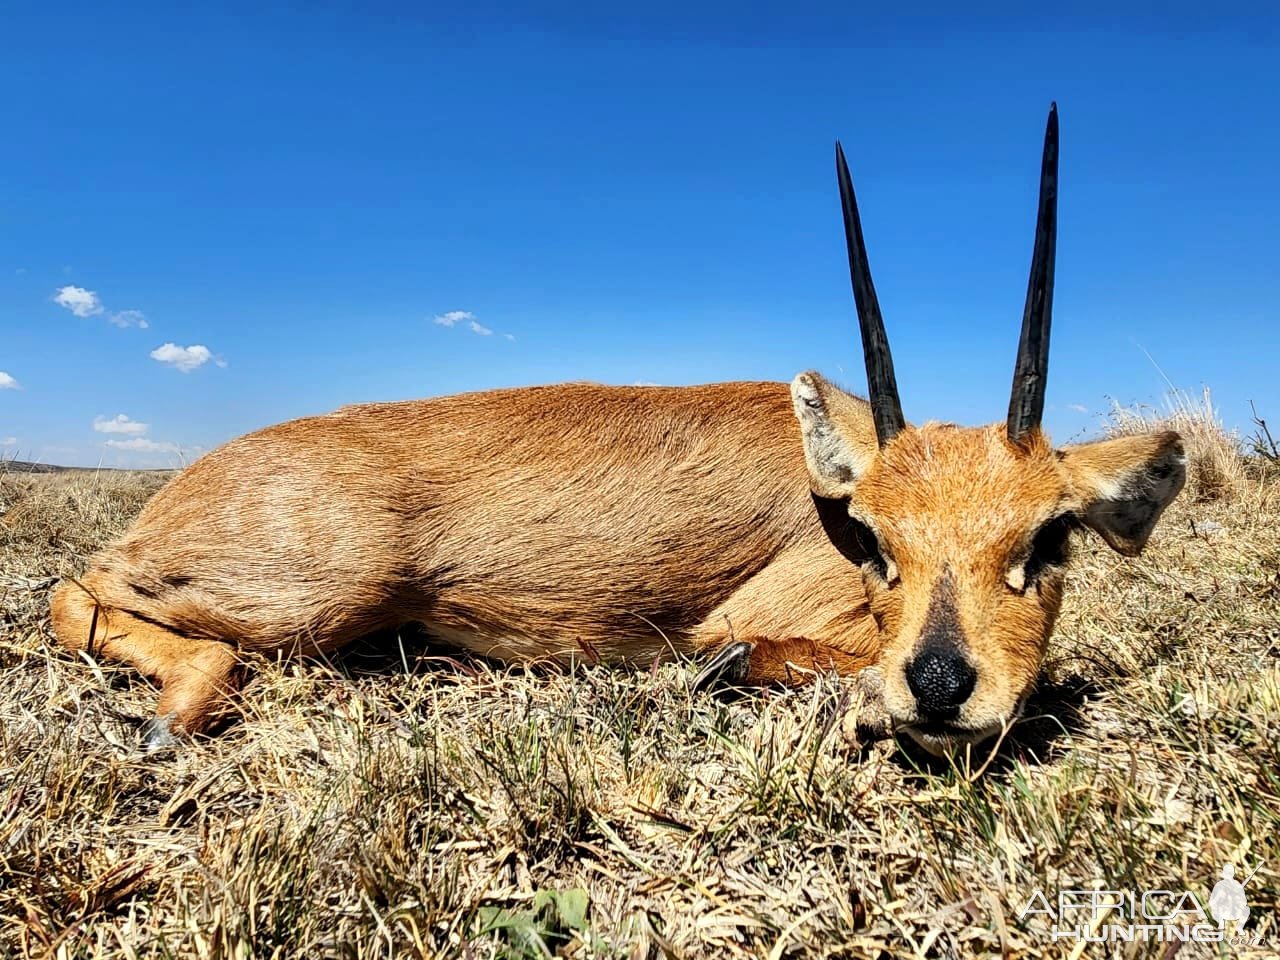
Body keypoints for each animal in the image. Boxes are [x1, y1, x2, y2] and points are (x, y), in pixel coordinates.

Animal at [55, 103, 1182, 752]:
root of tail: (184, 486)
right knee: (82, 591)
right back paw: (172, 718)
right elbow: (754, 652)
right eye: (875, 541)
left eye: (1050, 533)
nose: (942, 690)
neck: (823, 487)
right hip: (314, 597)